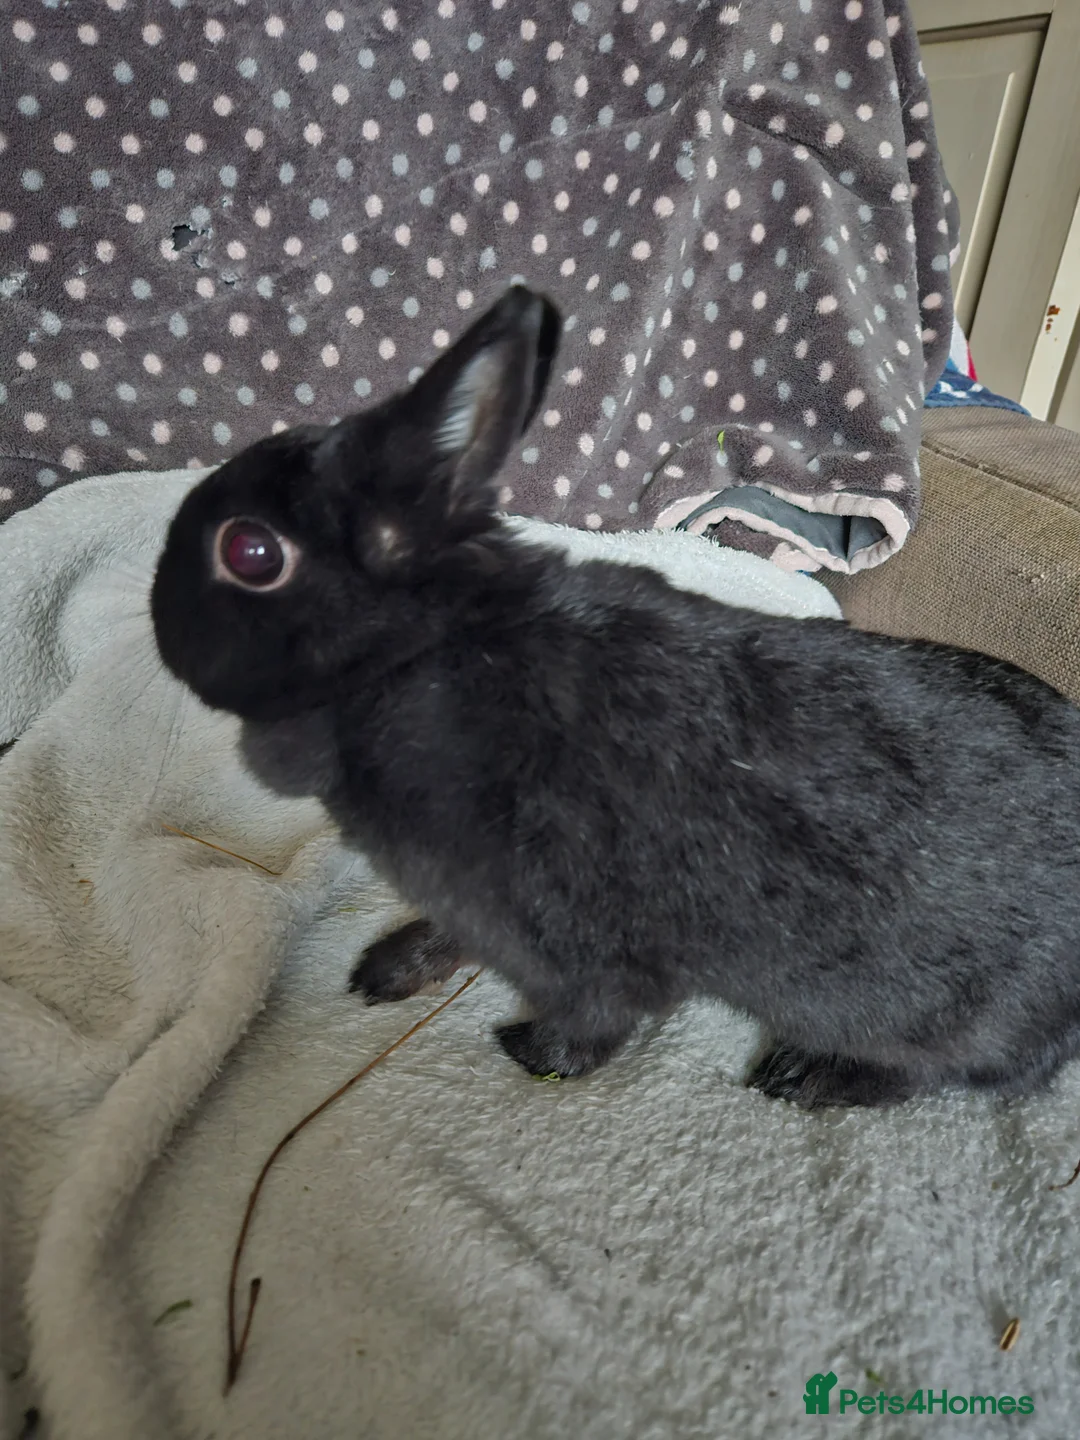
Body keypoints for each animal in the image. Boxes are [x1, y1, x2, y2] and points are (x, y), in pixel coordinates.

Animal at [152, 284, 1080, 1109]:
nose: (161, 618)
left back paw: (808, 1076)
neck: (429, 654)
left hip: (949, 1019)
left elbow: (600, 1021)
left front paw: (533, 1053)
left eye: (251, 553)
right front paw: (387, 969)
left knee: (955, 1075)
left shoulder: (585, 944)